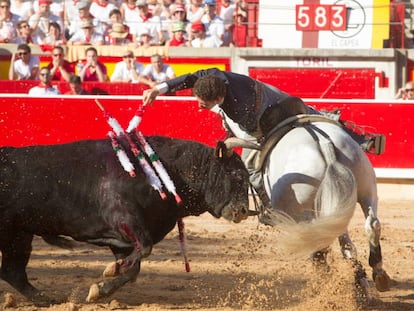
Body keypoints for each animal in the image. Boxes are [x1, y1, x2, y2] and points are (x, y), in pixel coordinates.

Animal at [0, 136, 252, 304]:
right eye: (236, 175)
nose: (242, 210)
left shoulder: (126, 236)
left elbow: (133, 268)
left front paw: (102, 288)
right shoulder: (125, 218)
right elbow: (145, 249)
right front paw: (109, 273)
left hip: (19, 235)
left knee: (13, 271)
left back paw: (45, 299)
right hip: (13, 233)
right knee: (13, 271)